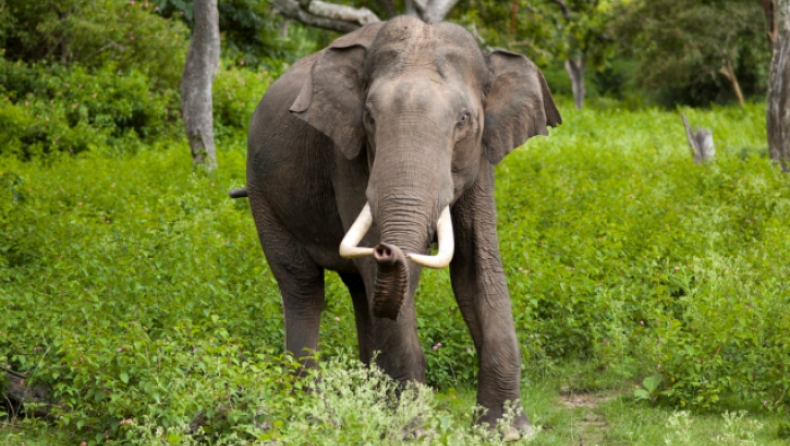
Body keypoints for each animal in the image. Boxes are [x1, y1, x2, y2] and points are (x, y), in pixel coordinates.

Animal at [235, 15, 564, 438]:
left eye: (464, 120)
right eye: (370, 118)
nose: (387, 248)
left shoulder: (481, 159)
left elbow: (477, 269)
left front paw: (506, 432)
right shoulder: (348, 156)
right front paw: (412, 432)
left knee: (360, 290)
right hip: (263, 194)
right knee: (303, 285)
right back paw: (312, 415)